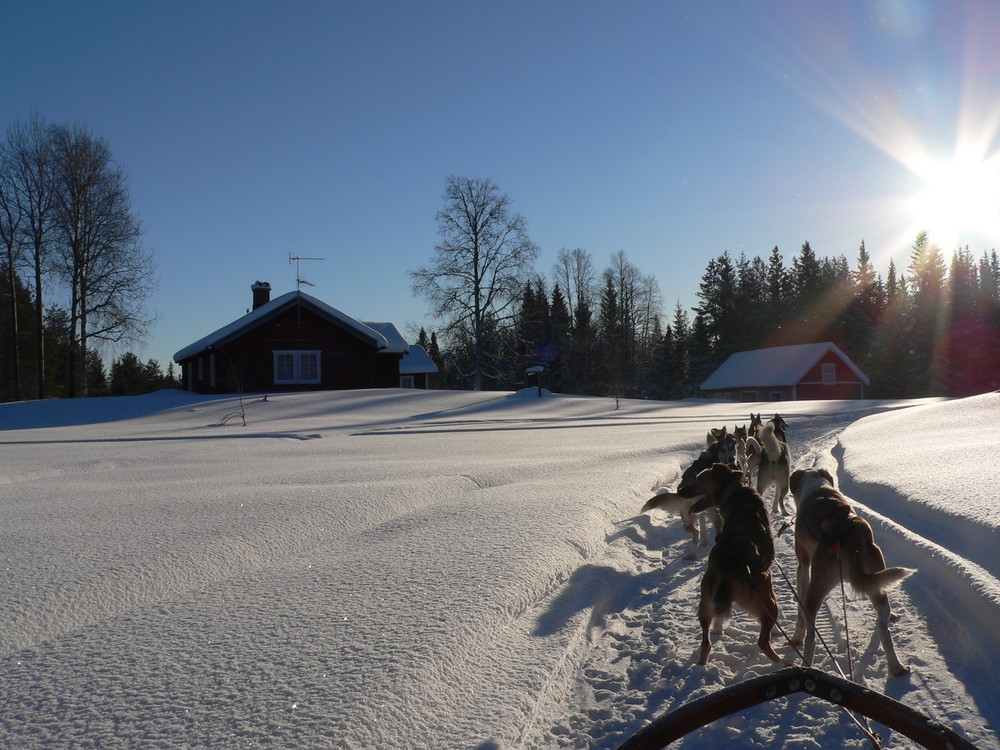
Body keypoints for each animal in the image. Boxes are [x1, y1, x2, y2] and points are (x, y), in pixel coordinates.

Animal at [680, 468, 780, 668]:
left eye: (699, 479)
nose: (680, 491)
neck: (735, 494)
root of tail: (729, 562)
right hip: (769, 602)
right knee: (762, 641)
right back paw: (785, 662)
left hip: (705, 605)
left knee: (706, 643)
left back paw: (701, 665)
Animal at [792, 470, 916, 676]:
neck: (818, 489)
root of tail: (854, 534)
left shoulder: (803, 566)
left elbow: (800, 614)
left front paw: (796, 638)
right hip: (876, 582)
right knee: (883, 629)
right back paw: (896, 666)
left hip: (816, 589)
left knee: (812, 637)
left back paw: (806, 664)